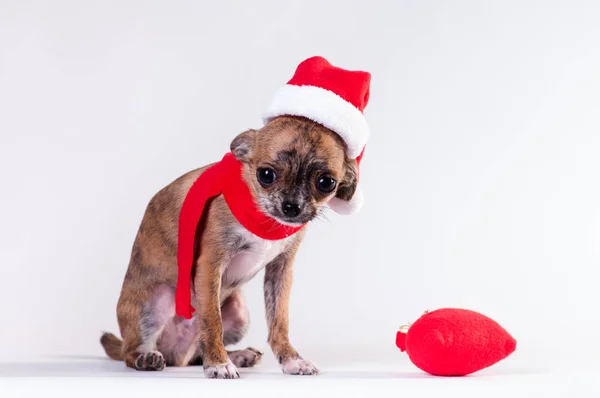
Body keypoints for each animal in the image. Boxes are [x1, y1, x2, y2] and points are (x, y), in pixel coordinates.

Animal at [101, 116, 358, 380]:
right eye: (266, 175)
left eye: (326, 183)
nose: (291, 206)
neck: (262, 219)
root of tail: (176, 356)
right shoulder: (210, 265)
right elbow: (212, 320)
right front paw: (218, 364)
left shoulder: (281, 272)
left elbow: (279, 322)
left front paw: (291, 360)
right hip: (155, 304)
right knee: (131, 352)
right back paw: (147, 358)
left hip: (239, 312)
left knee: (197, 354)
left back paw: (238, 355)